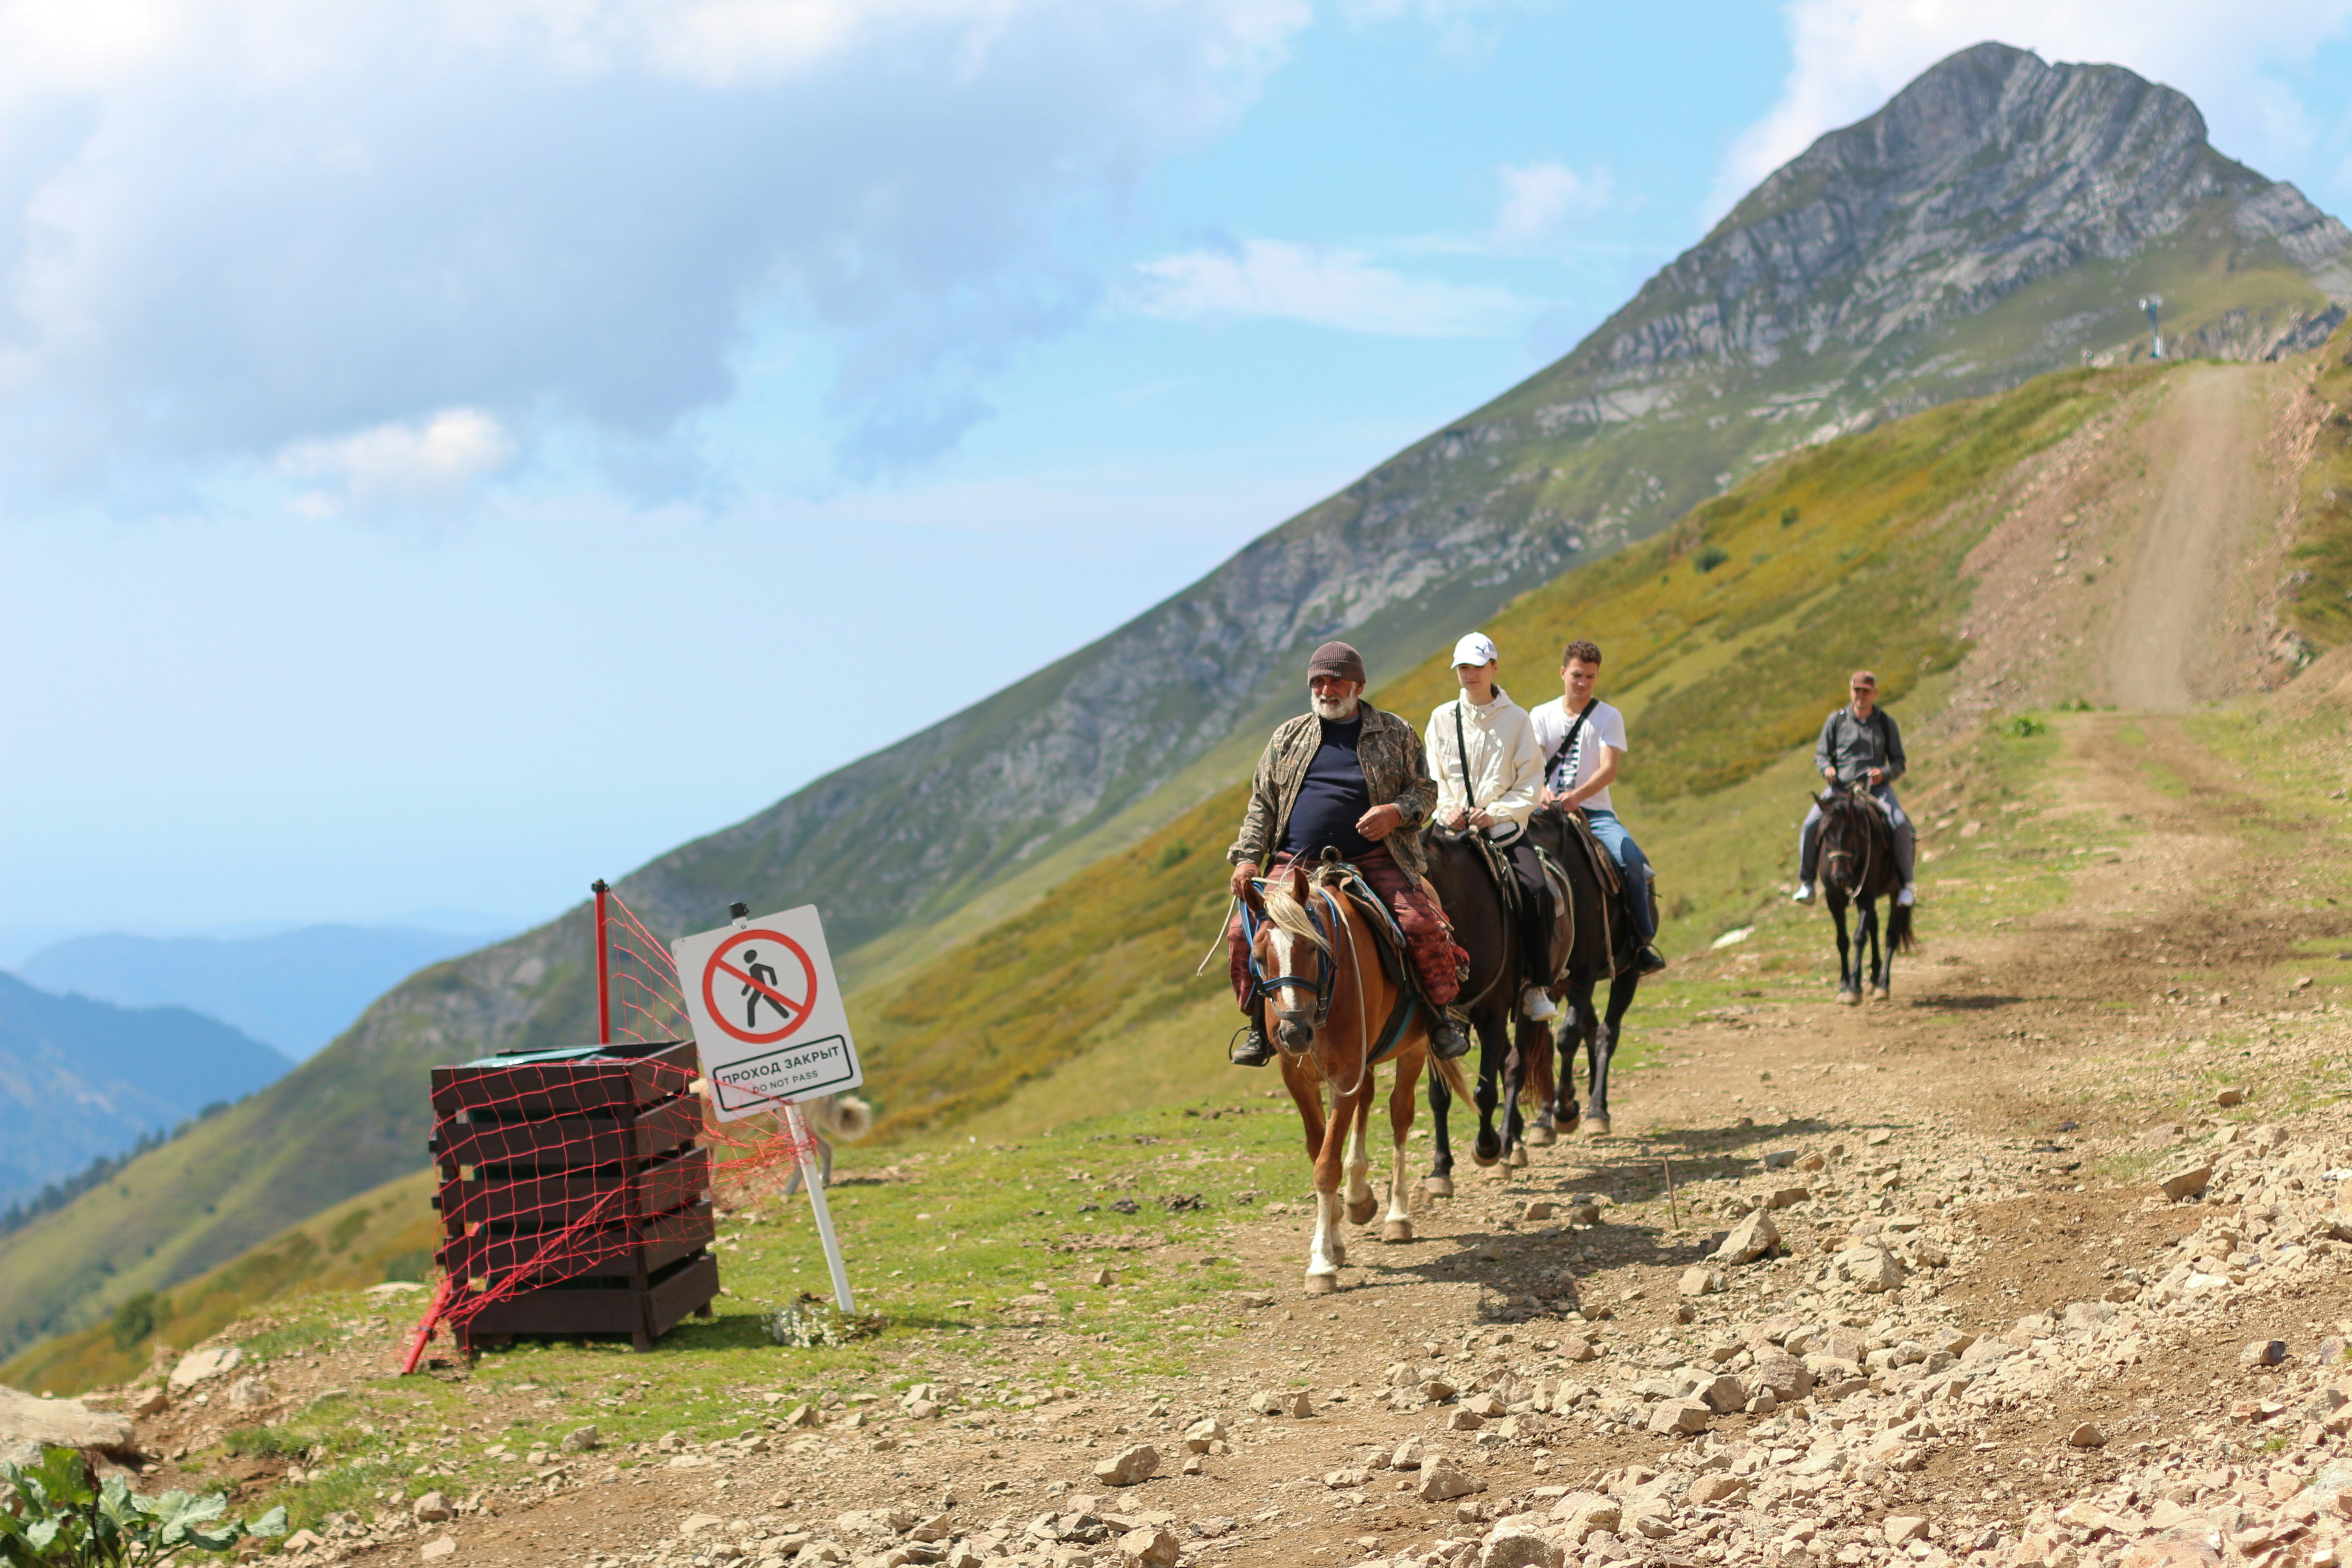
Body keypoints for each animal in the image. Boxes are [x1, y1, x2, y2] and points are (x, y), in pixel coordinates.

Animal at [1245, 858, 1471, 1295]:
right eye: (1260, 957)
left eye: (1312, 948)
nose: (1294, 1033)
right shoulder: (1298, 1078)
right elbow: (1319, 1149)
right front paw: (1334, 1237)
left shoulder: (1346, 1069)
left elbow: (1326, 1164)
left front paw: (1321, 1263)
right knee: (1366, 1102)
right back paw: (1359, 1198)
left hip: (1413, 1048)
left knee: (1400, 1115)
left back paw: (1397, 1215)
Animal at [1517, 804, 1646, 1139]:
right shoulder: (1548, 984)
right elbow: (1545, 1045)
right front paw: (1545, 1119)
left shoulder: (1585, 973)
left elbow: (1567, 1036)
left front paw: (1564, 1110)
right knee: (1592, 1028)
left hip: (1628, 973)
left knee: (1606, 1034)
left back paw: (1598, 1109)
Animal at [1815, 785, 1915, 1001]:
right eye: (1825, 832)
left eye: (1852, 831)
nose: (1840, 876)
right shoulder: (1833, 899)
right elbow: (1842, 940)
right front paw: (1845, 985)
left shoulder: (1867, 896)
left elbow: (1860, 937)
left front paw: (1854, 988)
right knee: (1874, 927)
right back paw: (1874, 977)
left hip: (1896, 892)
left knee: (1891, 935)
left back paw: (1883, 985)